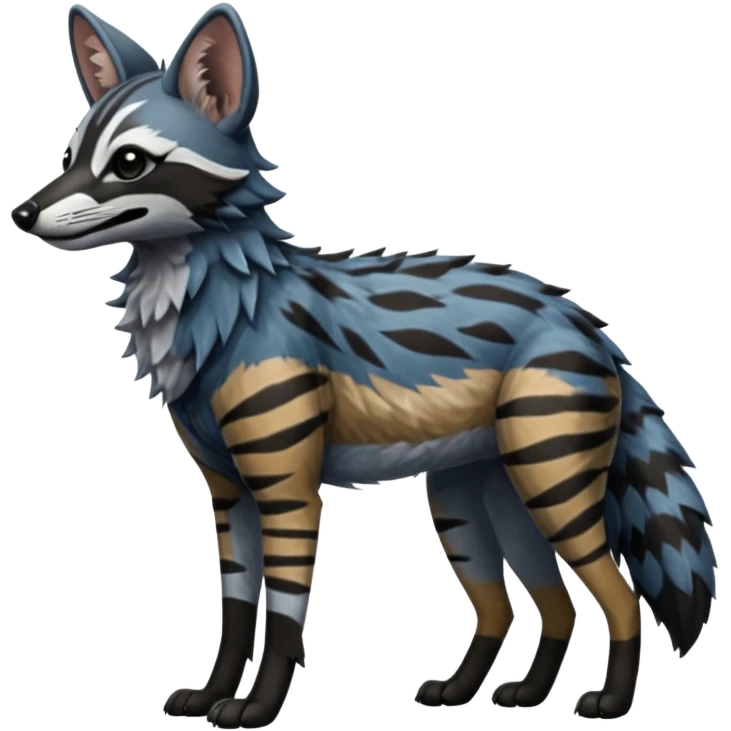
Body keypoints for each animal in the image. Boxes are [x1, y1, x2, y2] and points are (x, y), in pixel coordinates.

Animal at [10, 2, 716, 727]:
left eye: (128, 163)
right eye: (70, 156)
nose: (22, 212)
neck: (216, 313)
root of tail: (583, 320)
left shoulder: (286, 490)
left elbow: (282, 619)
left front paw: (257, 706)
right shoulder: (228, 493)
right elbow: (235, 614)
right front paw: (210, 695)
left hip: (550, 483)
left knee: (616, 597)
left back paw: (610, 700)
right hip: (472, 497)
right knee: (536, 604)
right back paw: (493, 692)